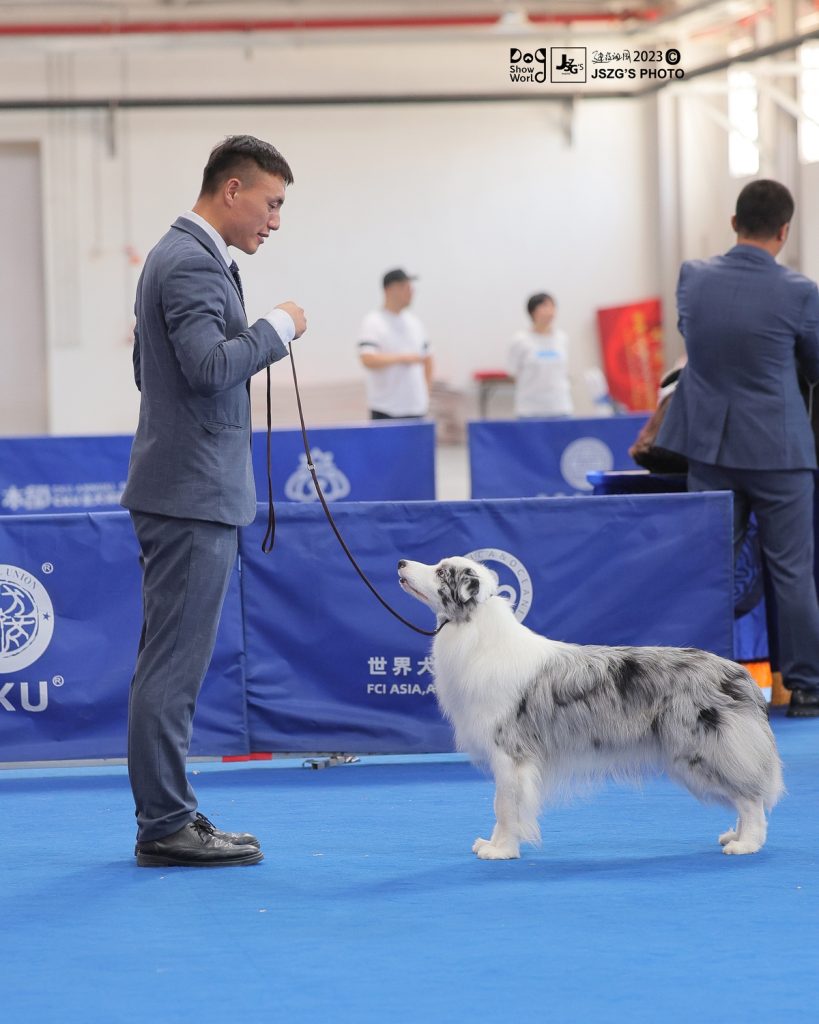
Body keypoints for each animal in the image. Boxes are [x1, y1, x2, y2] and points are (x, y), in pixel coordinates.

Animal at [397, 555, 783, 860]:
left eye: (441, 572)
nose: (401, 563)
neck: (474, 631)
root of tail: (740, 673)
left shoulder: (510, 752)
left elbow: (505, 803)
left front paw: (502, 850)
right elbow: (502, 804)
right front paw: (492, 843)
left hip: (701, 748)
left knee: (750, 798)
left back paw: (746, 843)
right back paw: (735, 834)